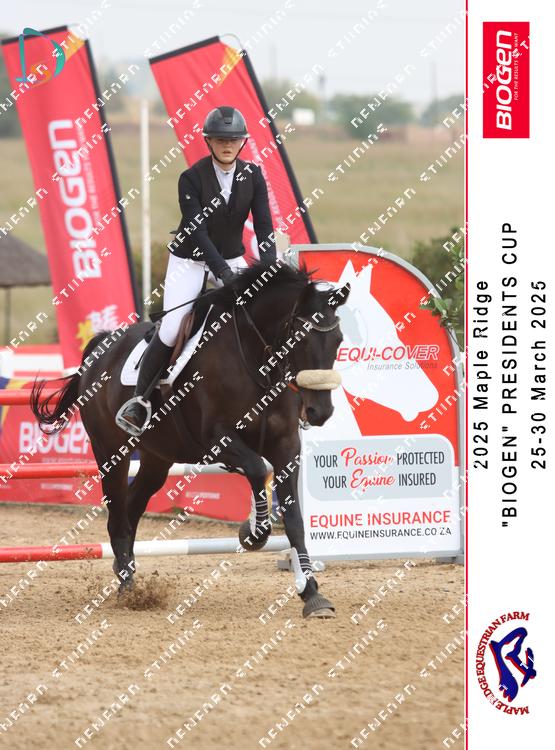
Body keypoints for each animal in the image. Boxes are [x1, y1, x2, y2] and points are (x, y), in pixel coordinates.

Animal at [29, 259, 350, 619]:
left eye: (338, 340)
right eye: (299, 338)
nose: (320, 412)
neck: (255, 359)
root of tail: (101, 347)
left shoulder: (286, 446)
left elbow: (294, 520)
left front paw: (312, 594)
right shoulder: (218, 440)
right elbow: (256, 469)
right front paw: (253, 534)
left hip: (157, 458)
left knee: (132, 507)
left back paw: (129, 576)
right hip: (111, 452)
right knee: (117, 516)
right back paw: (128, 589)